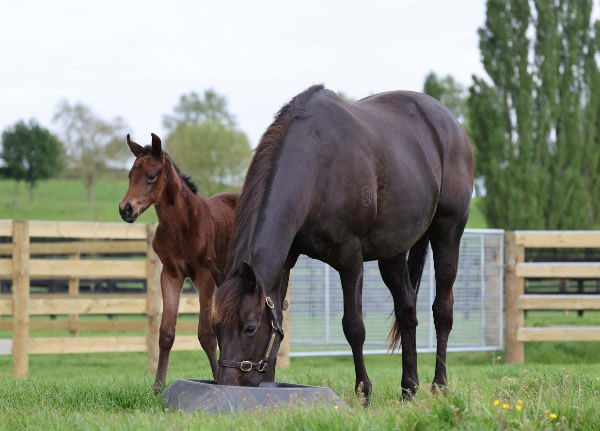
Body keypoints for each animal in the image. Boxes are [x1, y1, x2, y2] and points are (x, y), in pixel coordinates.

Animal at [118, 133, 238, 394]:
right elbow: (166, 332)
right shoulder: (171, 273)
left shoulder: (204, 274)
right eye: (130, 175)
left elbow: (206, 334)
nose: (125, 209)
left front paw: (219, 380)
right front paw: (158, 386)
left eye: (151, 175)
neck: (183, 224)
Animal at [211, 85, 474, 404]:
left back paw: (439, 386)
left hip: (448, 231)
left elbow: (354, 327)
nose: (227, 384)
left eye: (249, 328)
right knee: (407, 312)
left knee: (442, 310)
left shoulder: (350, 259)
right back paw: (409, 389)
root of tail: (450, 124)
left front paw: (364, 393)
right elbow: (279, 319)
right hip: (393, 253)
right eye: (215, 326)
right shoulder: (286, 260)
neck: (317, 164)